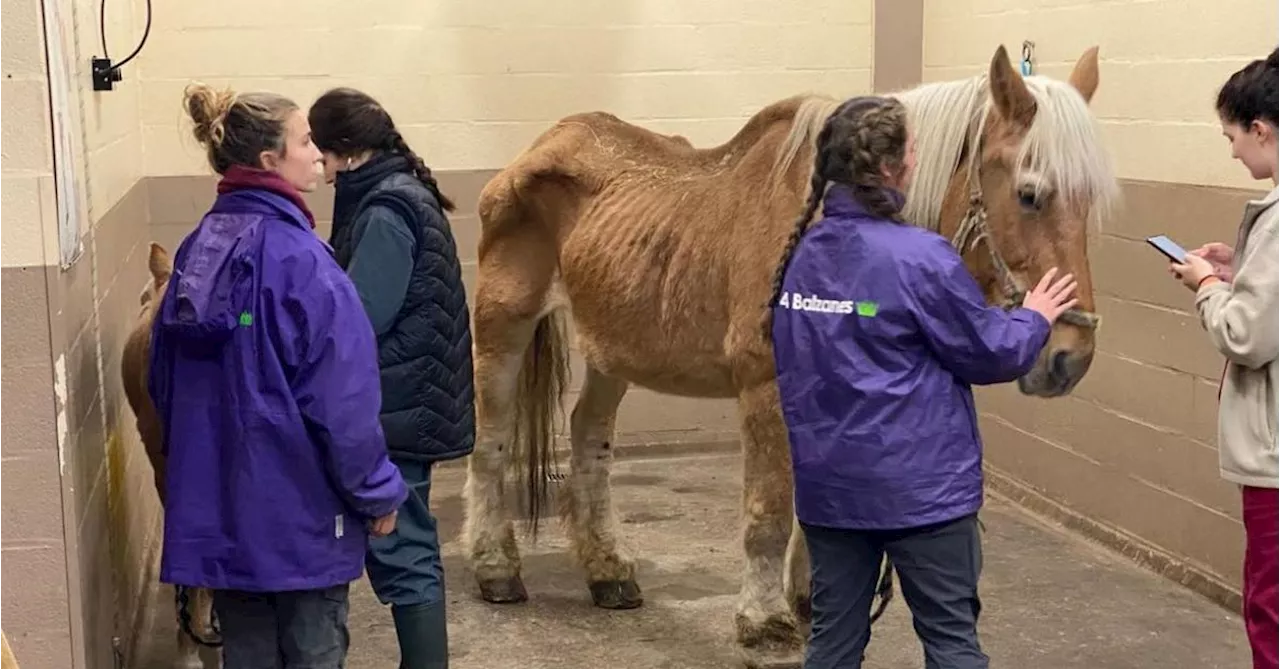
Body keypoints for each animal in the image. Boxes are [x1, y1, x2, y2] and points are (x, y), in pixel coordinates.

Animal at [463, 44, 1121, 665]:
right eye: (1030, 194)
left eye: (1090, 200)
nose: (1070, 358)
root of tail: (541, 145)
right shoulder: (765, 390)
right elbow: (770, 513)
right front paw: (764, 619)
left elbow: (818, 508)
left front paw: (813, 604)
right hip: (503, 325)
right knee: (489, 443)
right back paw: (495, 569)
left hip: (610, 349)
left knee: (589, 439)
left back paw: (608, 572)